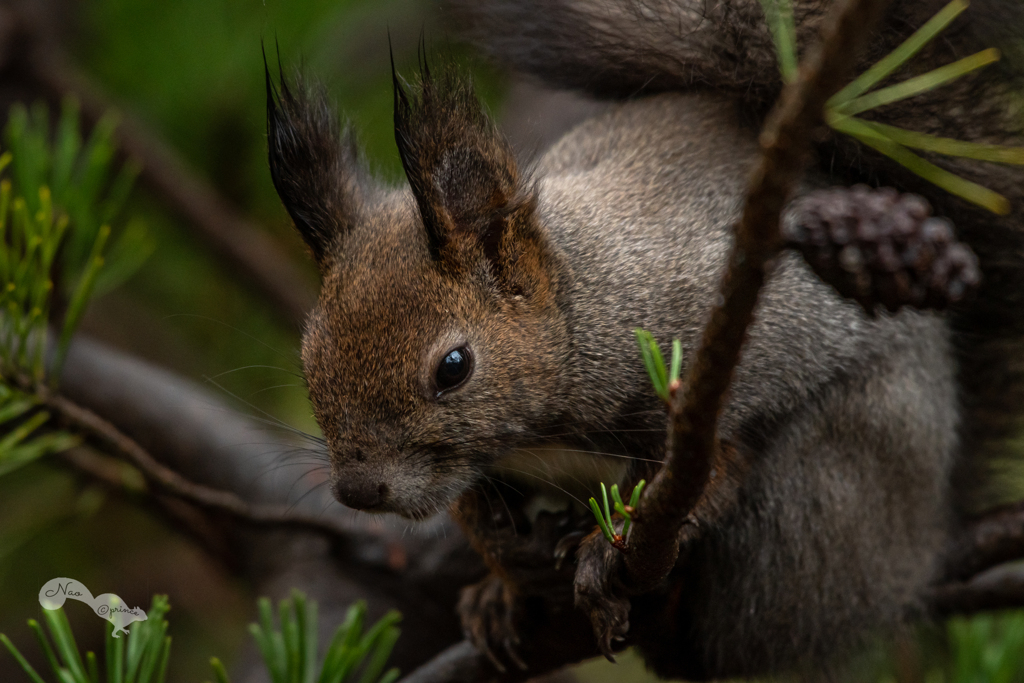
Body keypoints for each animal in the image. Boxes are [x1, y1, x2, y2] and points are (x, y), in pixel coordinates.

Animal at [262, 0, 1024, 679]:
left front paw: (607, 551)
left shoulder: (743, 341)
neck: (585, 305)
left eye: (454, 366)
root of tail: (928, 534)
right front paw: (502, 579)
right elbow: (475, 509)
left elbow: (720, 457)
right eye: (307, 356)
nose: (360, 490)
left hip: (823, 502)